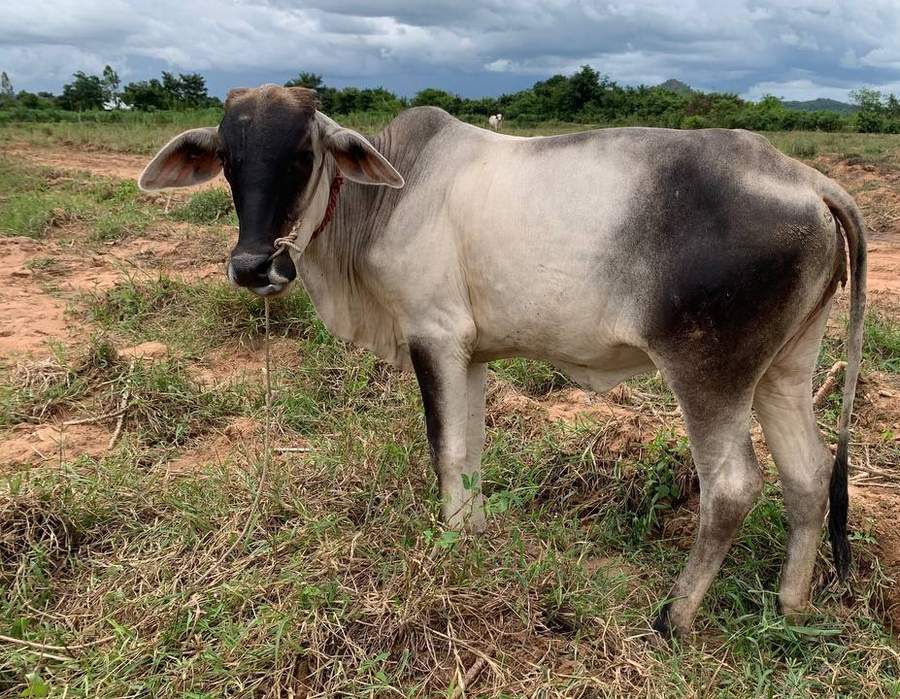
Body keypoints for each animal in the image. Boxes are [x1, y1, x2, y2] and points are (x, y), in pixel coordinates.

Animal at [138, 84, 866, 637]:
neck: (387, 195)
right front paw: (475, 534)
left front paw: (451, 544)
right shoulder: (471, 351)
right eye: (229, 160)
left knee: (733, 487)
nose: (252, 266)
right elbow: (472, 449)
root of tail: (807, 180)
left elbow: (444, 447)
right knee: (808, 476)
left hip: (709, 371)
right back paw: (791, 604)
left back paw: (675, 617)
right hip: (785, 369)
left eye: (300, 155)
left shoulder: (433, 334)